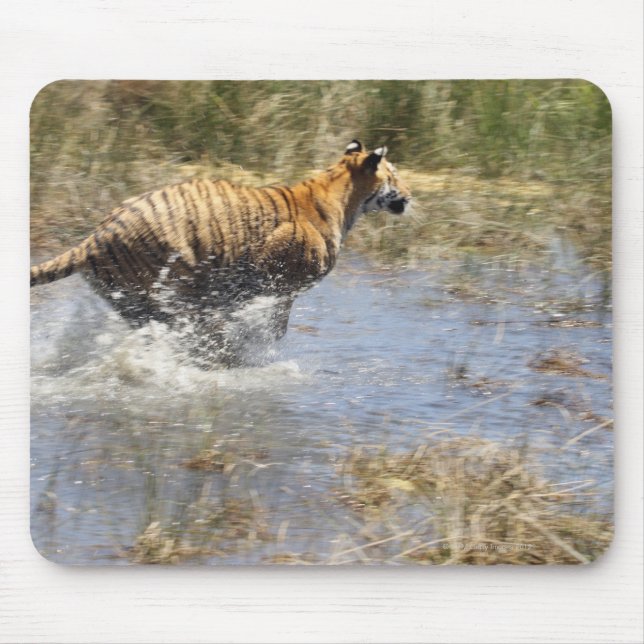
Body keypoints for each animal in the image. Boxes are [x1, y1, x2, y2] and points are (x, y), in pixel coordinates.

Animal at [30, 140, 412, 365]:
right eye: (394, 175)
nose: (410, 195)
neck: (341, 193)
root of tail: (95, 237)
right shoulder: (274, 275)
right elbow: (272, 322)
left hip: (131, 301)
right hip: (176, 284)